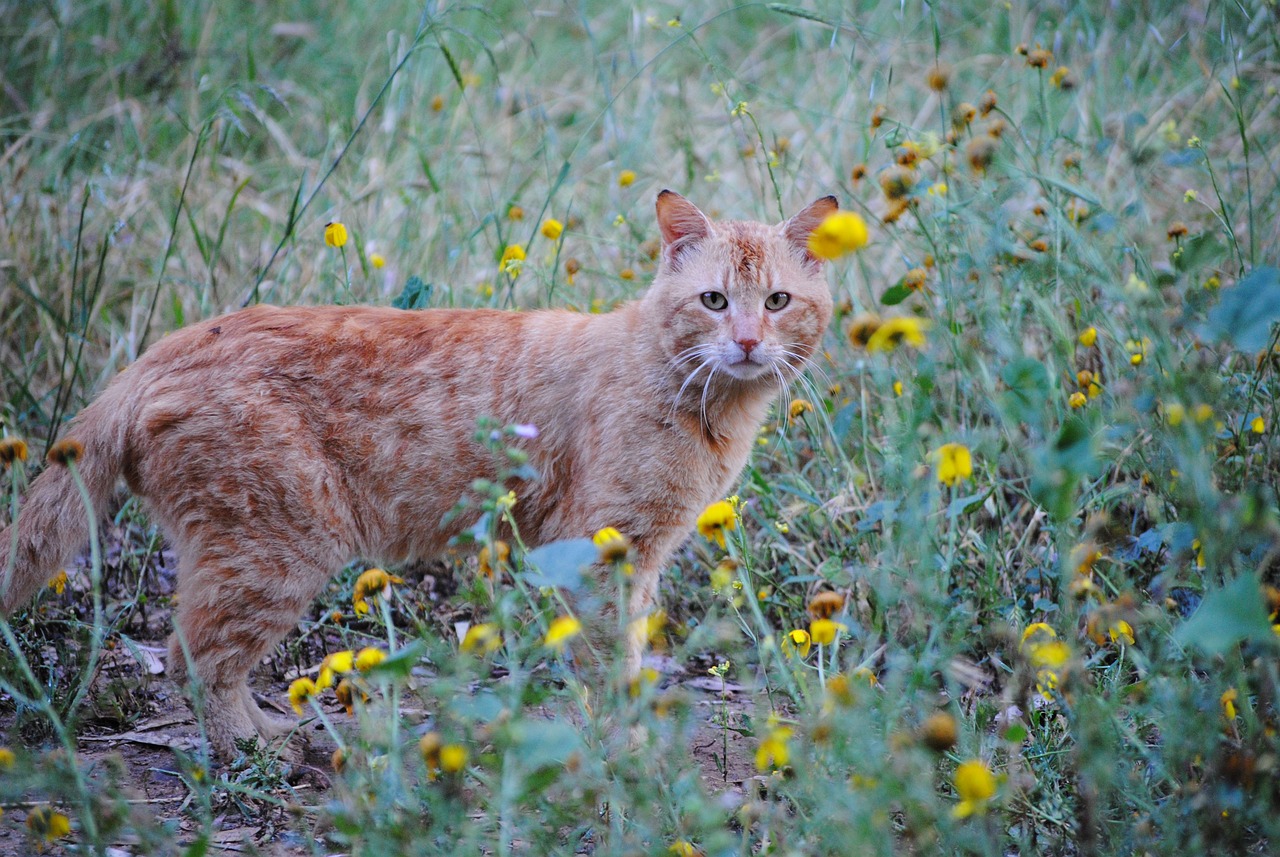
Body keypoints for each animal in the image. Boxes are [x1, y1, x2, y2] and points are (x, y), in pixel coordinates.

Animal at [2, 191, 839, 762]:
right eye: (713, 300)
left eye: (777, 300)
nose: (746, 342)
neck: (697, 398)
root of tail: (154, 354)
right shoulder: (603, 544)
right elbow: (608, 658)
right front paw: (621, 745)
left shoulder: (636, 555)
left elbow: (626, 651)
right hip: (276, 549)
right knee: (195, 657)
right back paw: (258, 745)